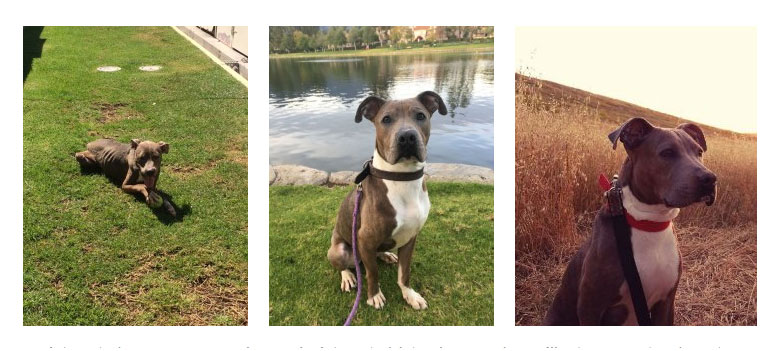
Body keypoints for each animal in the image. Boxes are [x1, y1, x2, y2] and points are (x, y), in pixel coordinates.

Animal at [328, 91, 448, 310]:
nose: (407, 137)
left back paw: (385, 254)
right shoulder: (364, 238)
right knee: (347, 265)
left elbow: (404, 273)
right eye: (386, 119)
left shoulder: (410, 238)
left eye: (420, 116)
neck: (401, 177)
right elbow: (373, 273)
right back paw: (348, 276)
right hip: (340, 249)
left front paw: (409, 294)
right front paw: (374, 295)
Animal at [544, 118, 720, 328]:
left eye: (699, 152)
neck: (648, 222)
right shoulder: (590, 305)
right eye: (667, 153)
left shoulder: (666, 304)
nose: (710, 179)